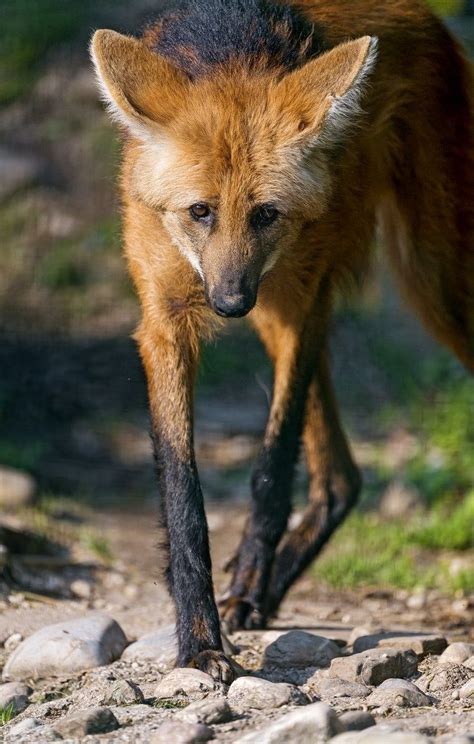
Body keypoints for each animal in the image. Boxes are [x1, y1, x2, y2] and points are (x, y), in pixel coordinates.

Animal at [91, 0, 473, 682]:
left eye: (266, 213)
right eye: (200, 211)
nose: (227, 303)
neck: (232, 47)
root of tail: (429, 16)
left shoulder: (302, 302)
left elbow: (271, 468)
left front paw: (237, 594)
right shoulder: (165, 319)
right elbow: (182, 493)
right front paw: (202, 640)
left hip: (431, 285)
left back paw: (257, 583)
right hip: (284, 309)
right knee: (343, 476)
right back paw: (262, 586)